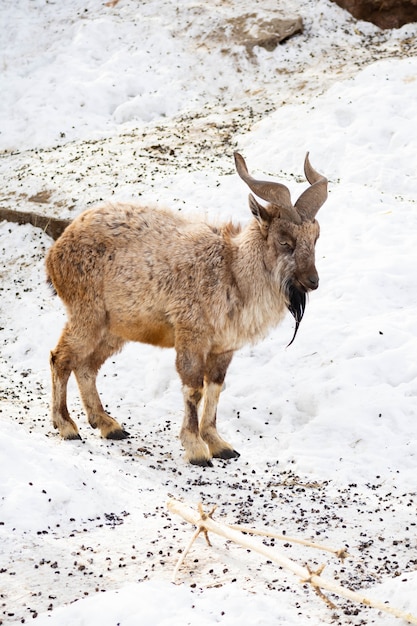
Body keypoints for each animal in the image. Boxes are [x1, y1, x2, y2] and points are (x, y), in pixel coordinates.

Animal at [44, 152, 324, 464]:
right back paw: (67, 426)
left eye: (315, 238)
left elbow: (215, 387)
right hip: (87, 314)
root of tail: (56, 251)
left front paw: (219, 444)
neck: (232, 272)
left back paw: (108, 425)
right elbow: (194, 388)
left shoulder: (223, 347)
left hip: (114, 327)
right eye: (284, 241)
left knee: (86, 366)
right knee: (61, 358)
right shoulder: (191, 333)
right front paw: (196, 448)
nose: (313, 281)